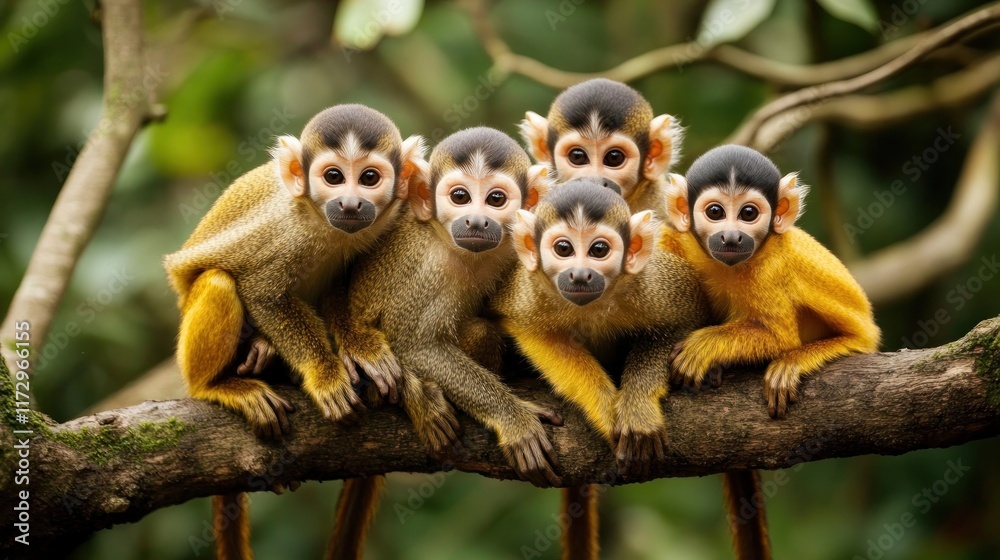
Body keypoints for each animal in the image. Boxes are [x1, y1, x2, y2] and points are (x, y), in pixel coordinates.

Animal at [164, 104, 426, 560]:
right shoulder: (286, 232)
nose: (351, 203)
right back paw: (214, 385)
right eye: (333, 176)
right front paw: (326, 374)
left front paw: (362, 349)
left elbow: (345, 287)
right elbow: (262, 292)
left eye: (369, 178)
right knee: (218, 280)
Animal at [490, 177, 710, 560]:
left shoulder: (654, 282)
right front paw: (606, 408)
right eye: (563, 248)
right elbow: (530, 329)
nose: (580, 274)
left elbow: (684, 317)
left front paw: (637, 407)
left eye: (598, 250)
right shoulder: (529, 290)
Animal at [664, 145, 881, 560]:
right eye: (715, 212)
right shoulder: (683, 242)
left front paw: (706, 347)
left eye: (749, 213)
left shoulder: (773, 266)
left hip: (858, 328)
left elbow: (780, 336)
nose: (732, 236)